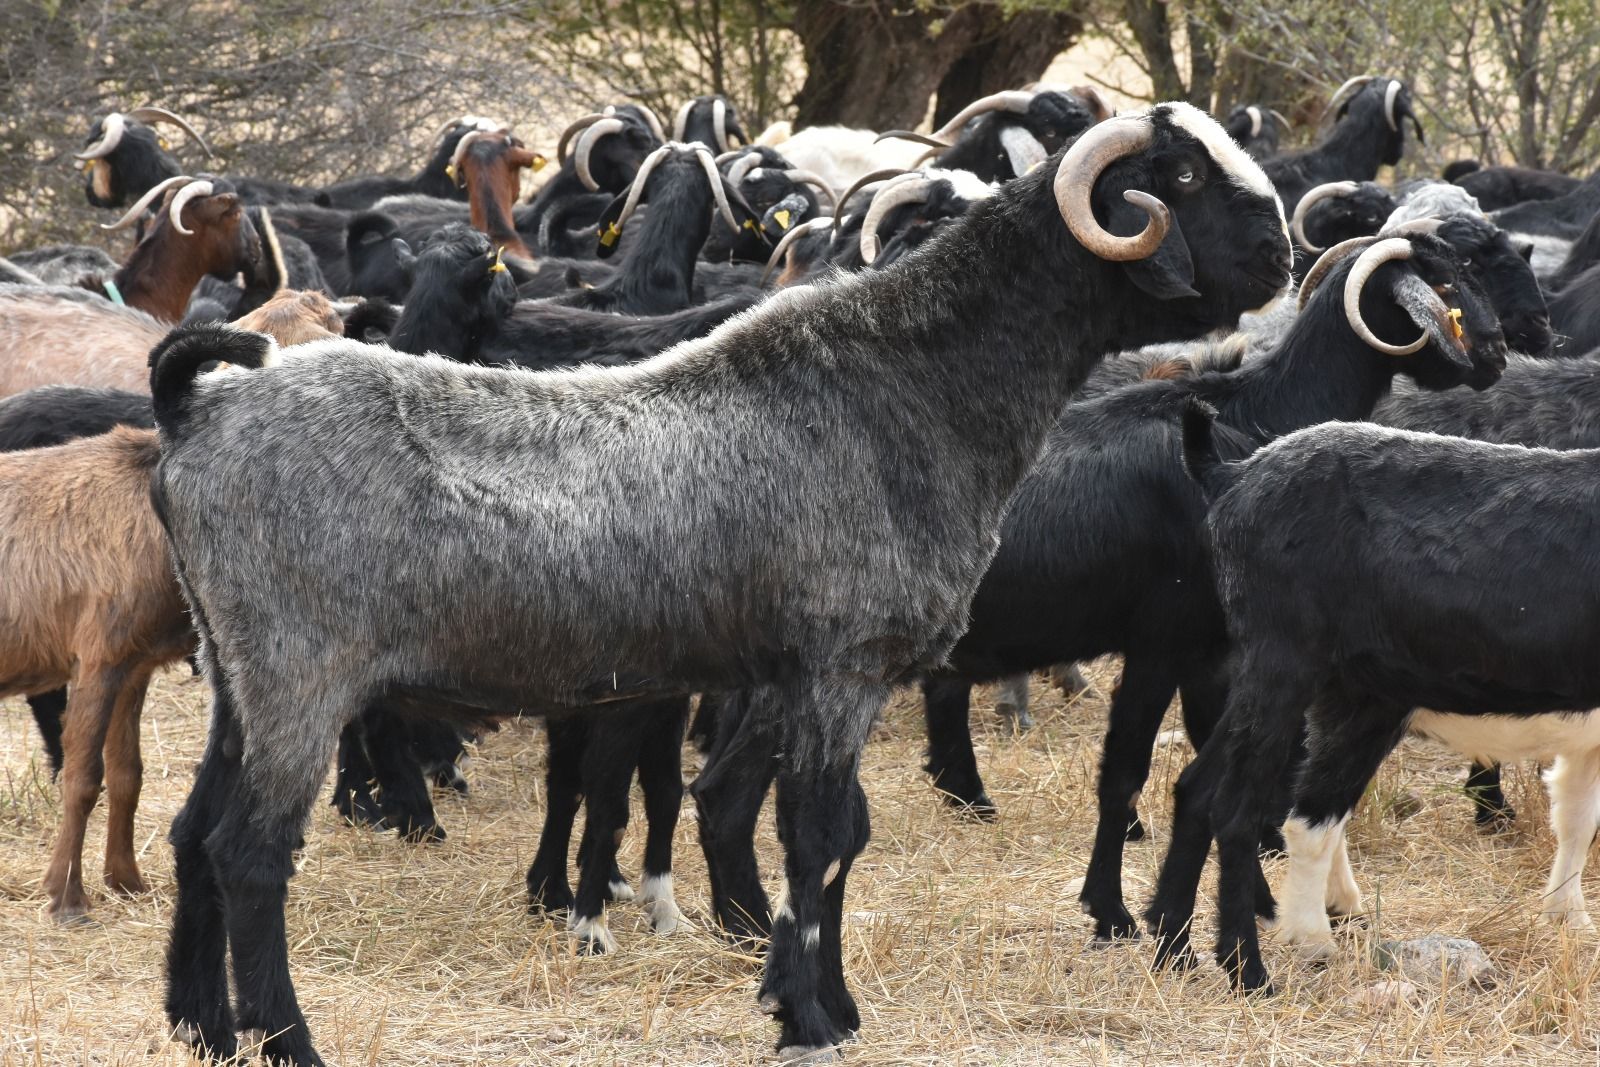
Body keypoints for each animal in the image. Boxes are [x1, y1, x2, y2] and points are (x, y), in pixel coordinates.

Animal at [0, 425, 192, 921]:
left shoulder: (134, 665)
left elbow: (128, 774)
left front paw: (126, 880)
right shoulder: (98, 656)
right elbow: (84, 778)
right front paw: (66, 895)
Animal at [150, 102, 1292, 1067]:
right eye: (1182, 175)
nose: (1281, 253)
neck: (915, 381)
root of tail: (195, 409)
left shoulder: (785, 669)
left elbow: (799, 824)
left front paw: (811, 998)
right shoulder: (843, 663)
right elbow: (819, 832)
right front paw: (812, 1017)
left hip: (234, 672)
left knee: (195, 835)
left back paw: (201, 1023)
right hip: (299, 672)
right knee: (250, 852)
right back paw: (286, 1038)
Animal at [1158, 412, 1600, 1004]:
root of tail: (1233, 474)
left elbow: (1575, 818)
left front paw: (1567, 919)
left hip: (1295, 681)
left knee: (1199, 788)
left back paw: (1175, 952)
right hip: (1292, 666)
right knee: (1245, 806)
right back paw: (1255, 968)